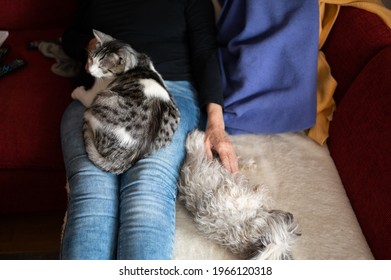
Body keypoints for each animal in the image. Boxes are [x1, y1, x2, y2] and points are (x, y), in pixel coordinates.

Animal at [71, 31, 181, 175]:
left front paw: (75, 92)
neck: (137, 63)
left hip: (101, 100)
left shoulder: (96, 92)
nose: (89, 71)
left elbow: (84, 95)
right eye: (91, 59)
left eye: (101, 67)